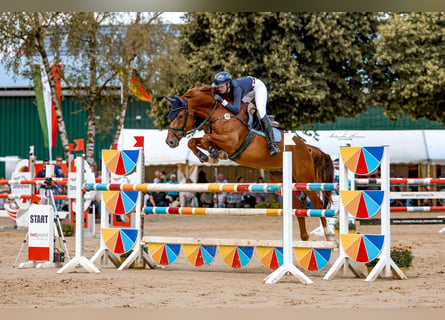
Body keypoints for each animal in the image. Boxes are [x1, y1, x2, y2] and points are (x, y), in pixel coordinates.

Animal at [165, 85, 332, 240]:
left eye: (180, 116)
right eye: (170, 115)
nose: (170, 141)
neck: (219, 114)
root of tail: (307, 147)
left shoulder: (231, 142)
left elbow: (206, 139)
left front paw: (214, 153)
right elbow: (194, 141)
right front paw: (208, 155)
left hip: (304, 177)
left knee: (318, 204)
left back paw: (328, 235)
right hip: (282, 178)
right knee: (298, 207)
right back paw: (304, 239)